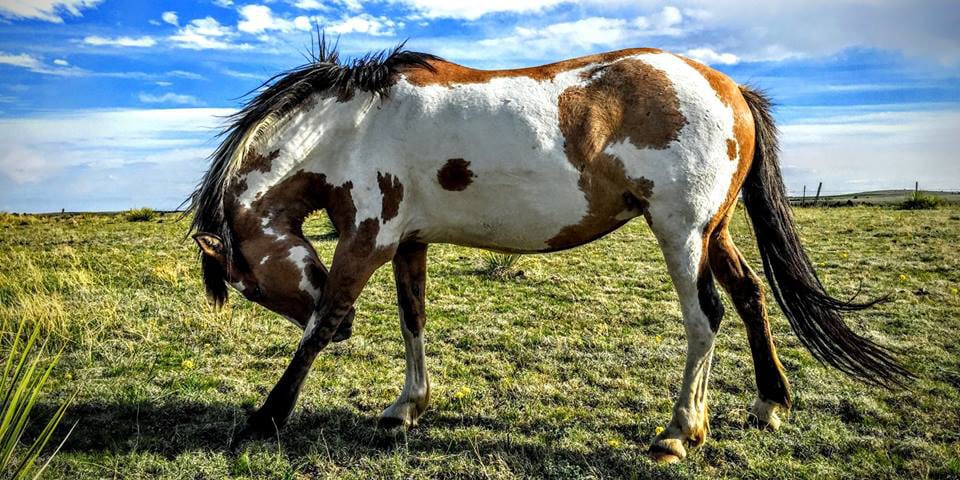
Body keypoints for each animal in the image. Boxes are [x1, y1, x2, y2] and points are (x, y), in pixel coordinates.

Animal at [186, 40, 908, 462]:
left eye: (247, 283)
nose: (348, 336)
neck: (356, 126)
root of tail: (728, 87)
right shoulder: (409, 242)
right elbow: (413, 319)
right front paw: (407, 407)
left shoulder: (368, 238)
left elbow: (315, 325)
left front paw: (265, 418)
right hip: (715, 232)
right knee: (752, 297)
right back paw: (768, 404)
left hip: (680, 231)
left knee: (706, 317)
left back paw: (680, 433)